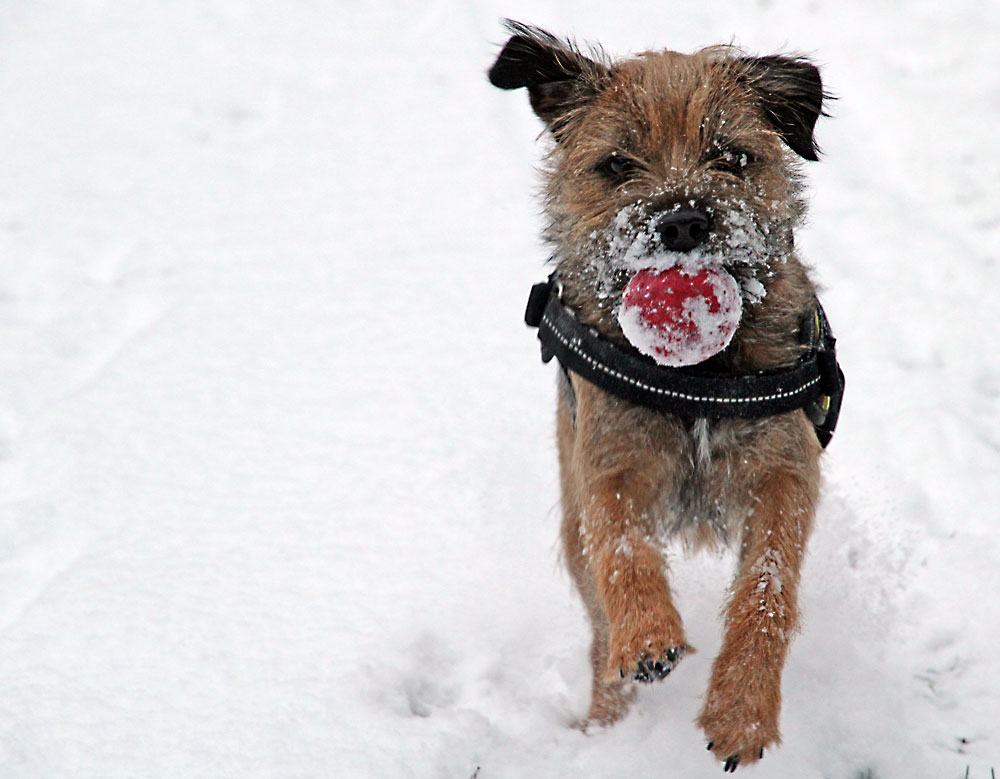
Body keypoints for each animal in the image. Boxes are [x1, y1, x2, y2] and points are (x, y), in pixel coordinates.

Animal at [488, 21, 840, 772]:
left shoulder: (783, 471)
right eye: (618, 164)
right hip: (572, 534)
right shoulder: (608, 460)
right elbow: (623, 547)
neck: (700, 374)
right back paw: (605, 721)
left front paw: (741, 712)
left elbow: (766, 588)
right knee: (599, 633)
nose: (682, 222)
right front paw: (649, 637)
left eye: (732, 156)